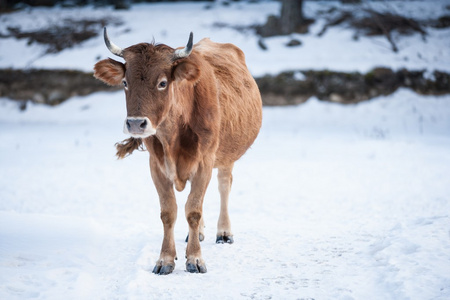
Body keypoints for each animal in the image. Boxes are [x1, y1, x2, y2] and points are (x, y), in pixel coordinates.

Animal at [95, 28, 264, 274]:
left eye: (163, 83)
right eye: (125, 82)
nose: (136, 123)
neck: (172, 136)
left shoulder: (204, 162)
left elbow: (193, 210)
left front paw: (195, 259)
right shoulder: (156, 166)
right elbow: (169, 212)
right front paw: (165, 259)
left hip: (227, 155)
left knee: (224, 186)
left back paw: (223, 232)